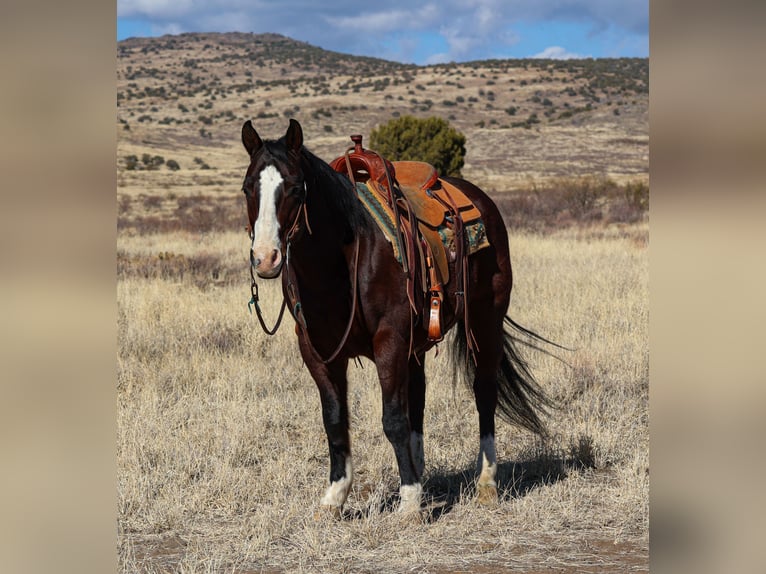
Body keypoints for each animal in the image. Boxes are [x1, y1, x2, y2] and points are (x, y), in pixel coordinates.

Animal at [238, 119, 552, 516]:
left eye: (294, 188)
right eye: (248, 187)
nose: (265, 258)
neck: (340, 262)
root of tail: (481, 200)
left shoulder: (389, 341)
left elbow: (393, 419)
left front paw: (408, 503)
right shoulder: (317, 351)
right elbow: (335, 419)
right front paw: (335, 497)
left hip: (485, 321)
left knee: (483, 393)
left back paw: (485, 483)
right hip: (417, 345)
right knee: (418, 397)